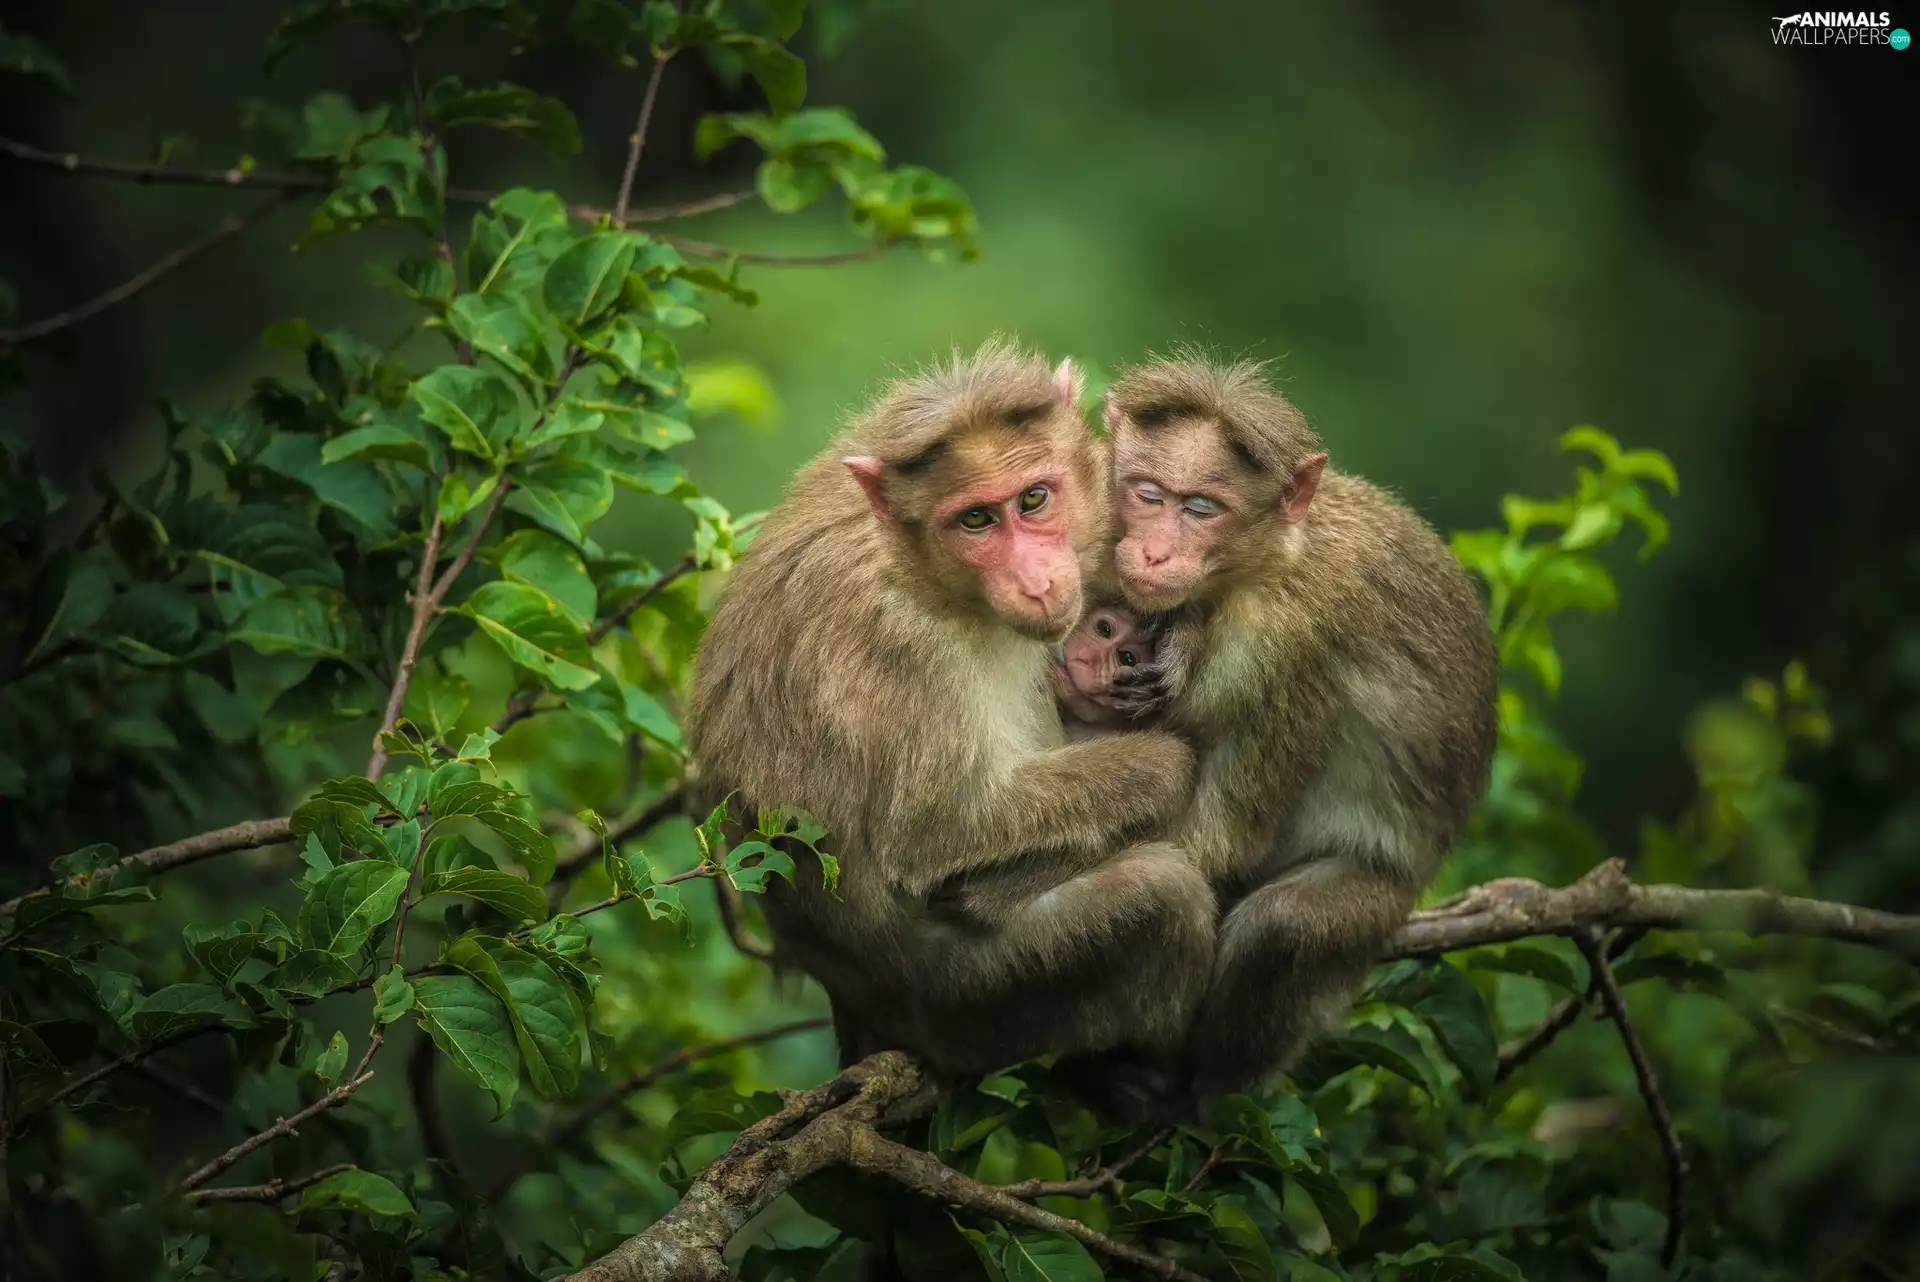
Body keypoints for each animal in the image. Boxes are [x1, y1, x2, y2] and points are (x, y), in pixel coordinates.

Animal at [686, 339, 1216, 1085]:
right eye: (975, 520)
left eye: (1033, 498)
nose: (1037, 581)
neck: (920, 568)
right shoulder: (896, 641)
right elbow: (932, 831)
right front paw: (1164, 762)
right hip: (976, 997)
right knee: (1159, 895)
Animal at [1101, 354, 1499, 1108]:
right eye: (1148, 494)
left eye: (1201, 508)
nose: (1157, 553)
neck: (1260, 568)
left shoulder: (1285, 651)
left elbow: (1214, 842)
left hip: (1378, 904)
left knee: (1284, 927)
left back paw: (1193, 1086)